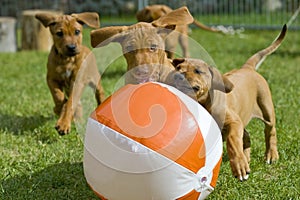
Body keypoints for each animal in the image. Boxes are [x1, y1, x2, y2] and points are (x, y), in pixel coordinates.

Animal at [165, 24, 288, 180]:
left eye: (197, 71)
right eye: (178, 68)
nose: (178, 75)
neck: (203, 103)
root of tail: (247, 68)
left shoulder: (233, 122)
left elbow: (233, 141)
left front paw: (239, 166)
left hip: (266, 107)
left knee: (270, 130)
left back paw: (271, 155)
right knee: (247, 135)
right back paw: (247, 157)